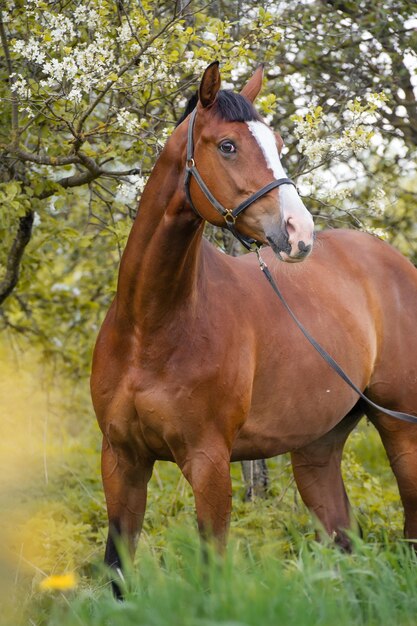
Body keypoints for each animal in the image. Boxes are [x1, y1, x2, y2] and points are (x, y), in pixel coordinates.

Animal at [91, 61, 416, 584]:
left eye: (278, 143)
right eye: (228, 146)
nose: (300, 233)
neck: (151, 328)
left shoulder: (208, 462)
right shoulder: (121, 460)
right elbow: (117, 569)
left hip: (400, 426)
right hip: (317, 447)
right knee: (343, 538)